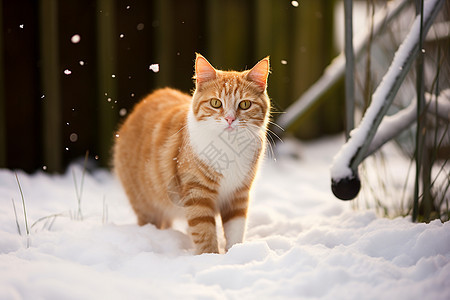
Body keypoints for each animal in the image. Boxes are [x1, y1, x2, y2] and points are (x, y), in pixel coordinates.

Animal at [113, 53, 270, 253]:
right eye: (215, 103)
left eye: (245, 104)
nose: (230, 119)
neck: (228, 147)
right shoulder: (197, 193)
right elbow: (204, 232)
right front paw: (210, 257)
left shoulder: (238, 194)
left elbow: (235, 230)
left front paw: (235, 254)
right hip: (146, 205)